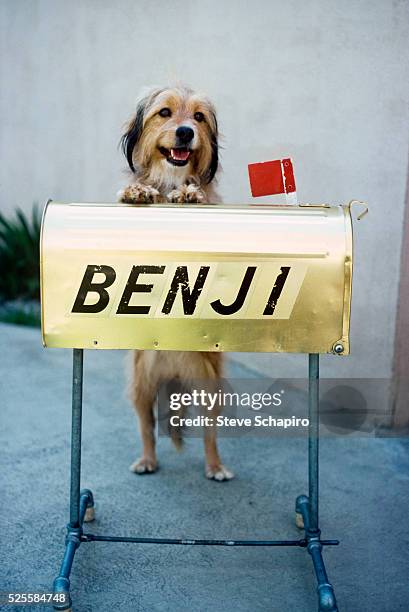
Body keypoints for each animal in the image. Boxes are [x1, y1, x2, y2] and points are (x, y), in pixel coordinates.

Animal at [118, 83, 233, 480]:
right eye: (164, 112)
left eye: (198, 117)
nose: (185, 132)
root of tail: (175, 376)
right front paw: (138, 193)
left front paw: (188, 193)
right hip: (141, 385)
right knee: (146, 427)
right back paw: (147, 460)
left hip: (210, 386)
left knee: (211, 435)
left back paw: (216, 466)